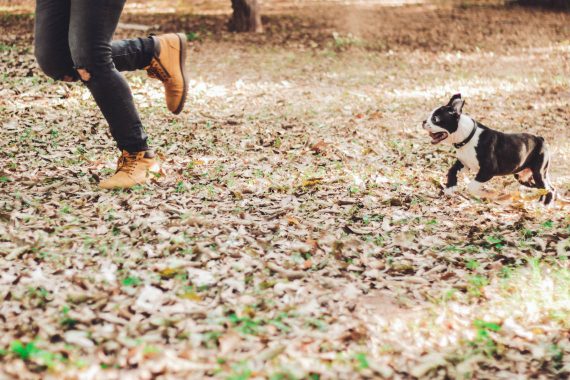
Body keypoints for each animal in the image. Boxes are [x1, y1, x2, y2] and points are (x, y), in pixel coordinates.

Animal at [422, 94, 556, 205]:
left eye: (435, 119)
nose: (423, 121)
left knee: (548, 189)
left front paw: (490, 194)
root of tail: (540, 139)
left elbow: (472, 186)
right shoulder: (464, 164)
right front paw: (450, 187)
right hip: (522, 176)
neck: (468, 137)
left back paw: (543, 206)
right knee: (545, 188)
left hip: (538, 172)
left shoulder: (487, 171)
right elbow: (451, 170)